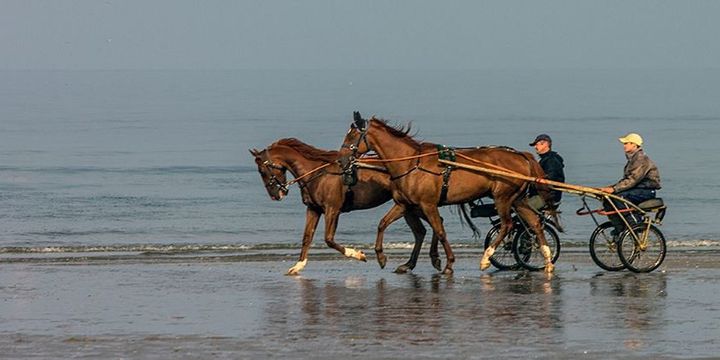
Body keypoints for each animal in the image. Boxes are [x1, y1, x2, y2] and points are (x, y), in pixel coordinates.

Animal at [250, 139, 436, 276]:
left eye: (262, 171)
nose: (275, 195)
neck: (317, 173)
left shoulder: (332, 209)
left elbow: (329, 239)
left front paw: (358, 255)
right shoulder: (313, 209)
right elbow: (307, 237)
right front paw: (298, 265)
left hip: (415, 204)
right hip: (409, 207)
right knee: (423, 230)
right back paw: (414, 264)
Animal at [338, 114, 556, 274]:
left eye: (351, 136)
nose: (341, 160)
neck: (411, 163)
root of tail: (522, 156)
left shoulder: (428, 204)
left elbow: (440, 231)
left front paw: (449, 263)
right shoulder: (404, 204)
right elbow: (382, 223)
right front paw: (381, 257)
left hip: (502, 197)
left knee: (507, 225)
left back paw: (486, 258)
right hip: (517, 199)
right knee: (535, 224)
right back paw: (547, 260)